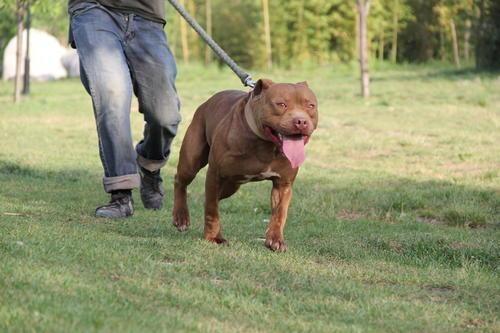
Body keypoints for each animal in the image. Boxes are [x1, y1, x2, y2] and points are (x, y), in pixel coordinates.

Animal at [172, 79, 318, 250]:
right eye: (281, 104)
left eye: (310, 106)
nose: (301, 121)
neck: (266, 145)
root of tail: (206, 102)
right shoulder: (215, 175)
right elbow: (212, 211)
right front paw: (213, 237)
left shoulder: (283, 184)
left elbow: (280, 213)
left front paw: (275, 239)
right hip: (192, 161)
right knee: (182, 182)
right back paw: (181, 217)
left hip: (231, 186)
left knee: (212, 198)